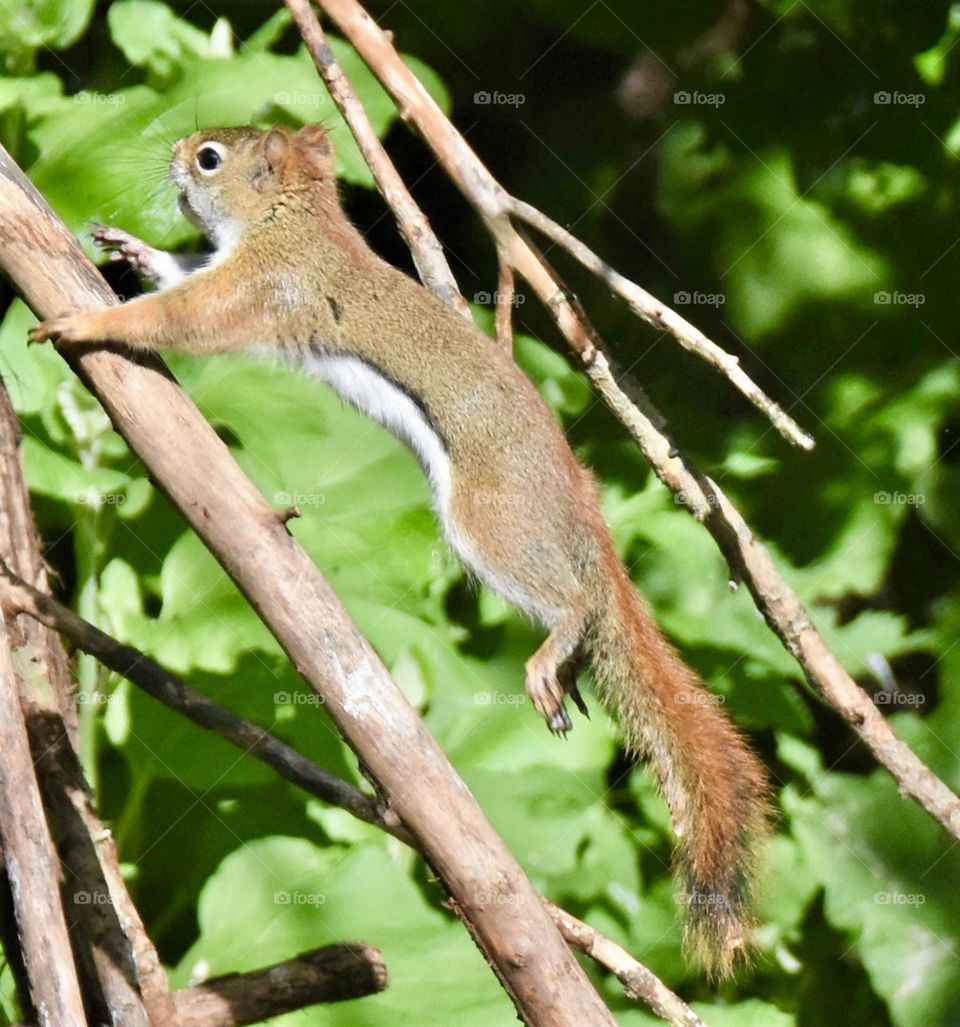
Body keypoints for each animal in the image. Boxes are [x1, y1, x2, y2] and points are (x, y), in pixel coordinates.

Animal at [30, 122, 768, 977]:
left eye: (210, 158)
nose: (176, 152)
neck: (289, 222)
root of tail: (584, 511)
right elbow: (180, 273)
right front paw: (134, 245)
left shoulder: (260, 291)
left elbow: (177, 316)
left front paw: (85, 324)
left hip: (488, 520)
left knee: (573, 601)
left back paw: (558, 645)